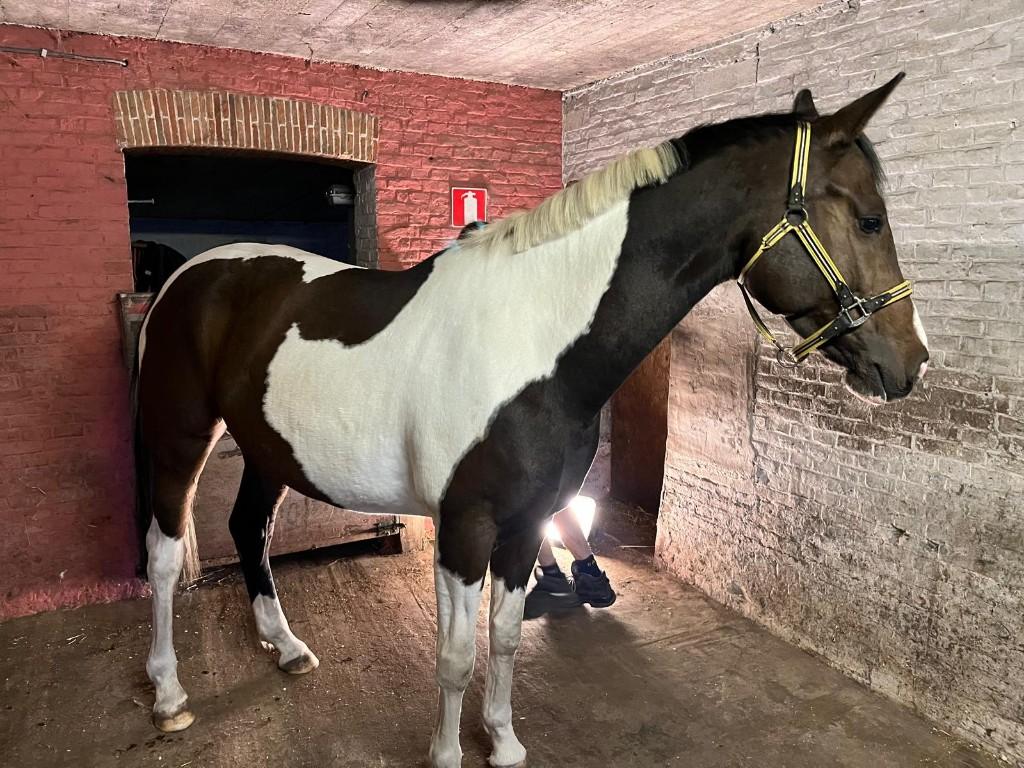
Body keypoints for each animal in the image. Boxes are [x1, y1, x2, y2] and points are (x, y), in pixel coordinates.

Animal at [135, 72, 927, 767]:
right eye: (869, 218)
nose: (911, 363)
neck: (533, 341)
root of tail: (191, 273)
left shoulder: (527, 520)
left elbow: (508, 639)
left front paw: (504, 742)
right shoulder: (465, 526)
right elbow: (456, 656)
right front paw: (447, 753)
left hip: (268, 448)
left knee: (248, 529)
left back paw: (287, 648)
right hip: (178, 436)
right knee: (165, 554)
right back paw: (169, 694)